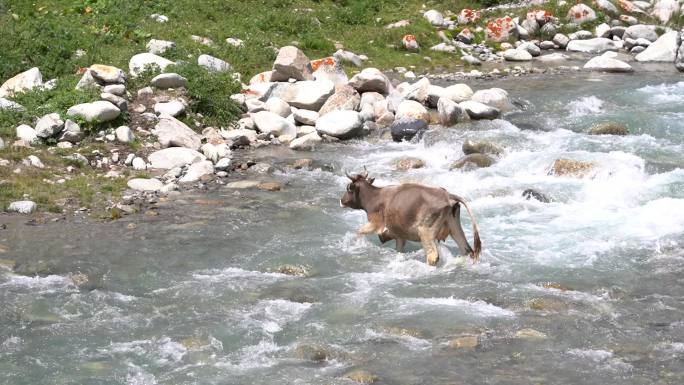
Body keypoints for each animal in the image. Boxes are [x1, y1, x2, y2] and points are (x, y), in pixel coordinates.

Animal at [340, 168, 480, 264]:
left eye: (348, 188)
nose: (341, 201)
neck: (375, 197)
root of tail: (448, 195)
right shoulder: (399, 234)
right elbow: (399, 249)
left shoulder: (375, 223)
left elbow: (359, 231)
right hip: (455, 226)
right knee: (467, 250)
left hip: (425, 231)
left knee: (433, 256)